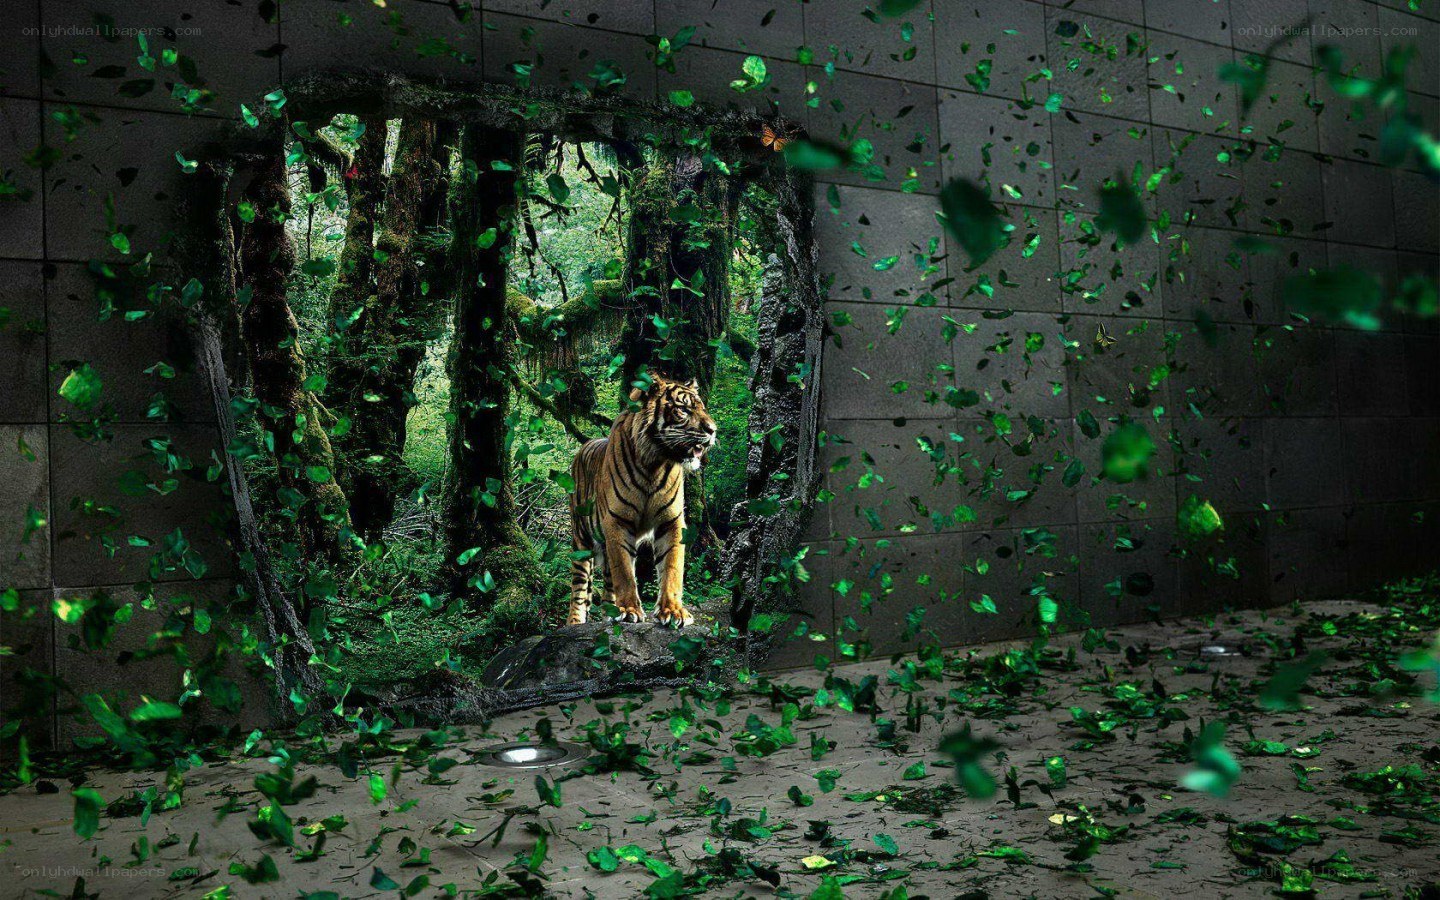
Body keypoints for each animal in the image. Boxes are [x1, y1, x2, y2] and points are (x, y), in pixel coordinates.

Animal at [566, 374, 717, 627]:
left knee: (607, 583)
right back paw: (576, 622)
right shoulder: (617, 521)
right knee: (579, 588)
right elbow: (625, 572)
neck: (654, 464)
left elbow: (672, 567)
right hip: (581, 541)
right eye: (684, 410)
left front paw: (673, 611)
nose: (713, 430)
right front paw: (629, 610)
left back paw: (609, 612)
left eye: (702, 408)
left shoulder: (672, 522)